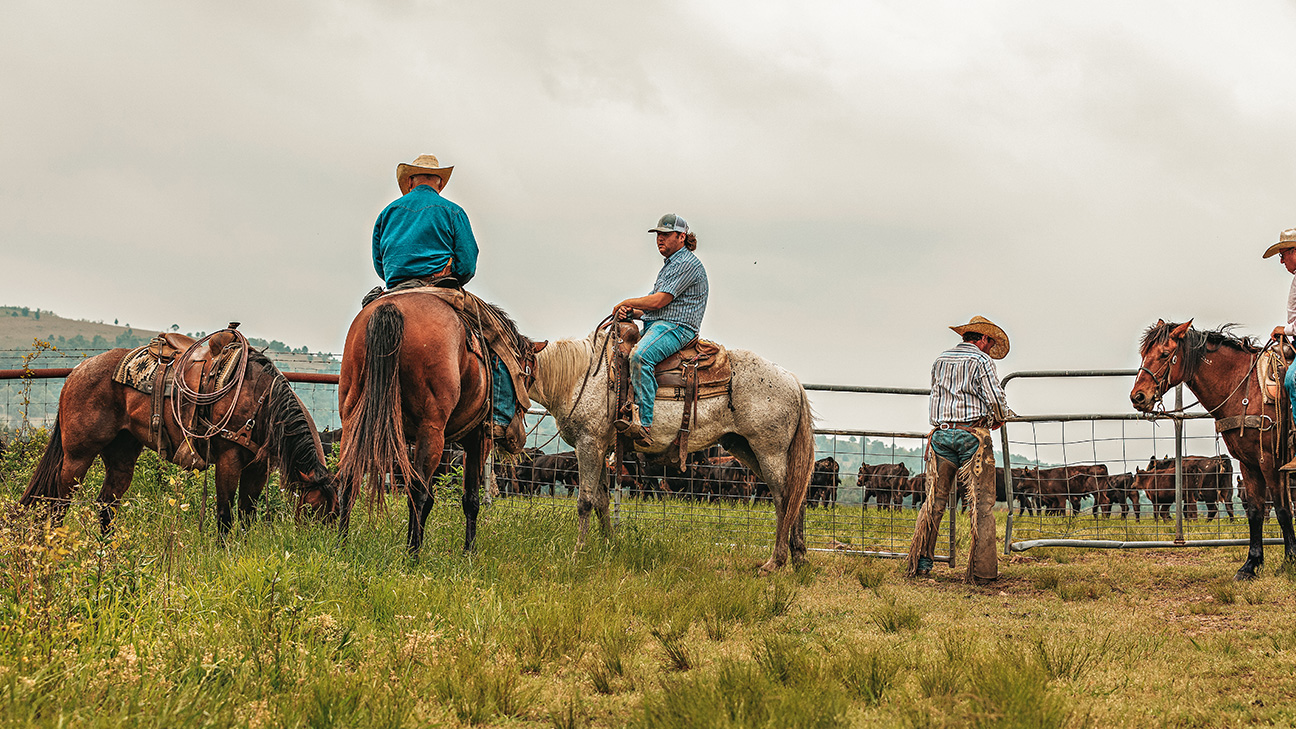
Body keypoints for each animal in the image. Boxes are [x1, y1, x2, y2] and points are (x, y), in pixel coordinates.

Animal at [20, 339, 334, 534]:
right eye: (313, 508)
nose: (319, 545)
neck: (260, 399)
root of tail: (77, 372)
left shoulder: (258, 467)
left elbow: (247, 515)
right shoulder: (228, 459)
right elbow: (225, 514)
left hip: (121, 456)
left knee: (107, 505)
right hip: (77, 456)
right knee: (58, 502)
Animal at [336, 291, 539, 552]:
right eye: (529, 376)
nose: (516, 434)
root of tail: (391, 308)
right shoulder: (477, 440)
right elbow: (470, 497)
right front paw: (469, 551)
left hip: (354, 420)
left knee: (349, 477)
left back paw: (342, 545)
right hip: (432, 429)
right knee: (417, 491)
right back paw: (412, 554)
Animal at [523, 326, 808, 570]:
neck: (579, 378)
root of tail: (793, 381)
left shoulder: (588, 444)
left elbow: (585, 501)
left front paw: (578, 553)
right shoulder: (601, 448)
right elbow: (602, 501)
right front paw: (609, 546)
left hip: (770, 451)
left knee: (785, 498)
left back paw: (775, 562)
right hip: (745, 448)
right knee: (797, 496)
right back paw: (799, 557)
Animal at [1130, 317, 1290, 578]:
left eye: (1164, 354)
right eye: (1144, 353)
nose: (1138, 397)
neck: (1246, 389)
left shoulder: (1271, 460)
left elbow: (1283, 508)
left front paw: (1289, 561)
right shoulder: (1248, 462)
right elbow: (1255, 511)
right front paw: (1250, 565)